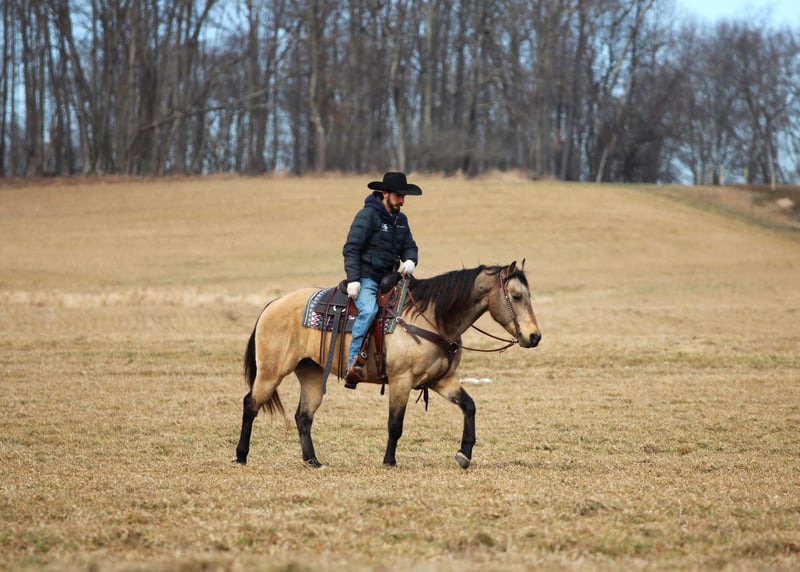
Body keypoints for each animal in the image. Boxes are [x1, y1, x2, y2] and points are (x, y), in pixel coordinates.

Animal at [234, 260, 541, 469]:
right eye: (516, 296)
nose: (534, 336)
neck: (432, 317)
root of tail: (274, 303)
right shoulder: (401, 381)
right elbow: (395, 424)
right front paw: (389, 460)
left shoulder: (442, 380)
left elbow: (469, 406)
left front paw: (464, 454)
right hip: (272, 372)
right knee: (251, 404)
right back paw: (241, 455)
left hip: (311, 373)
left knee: (303, 416)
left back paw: (313, 461)